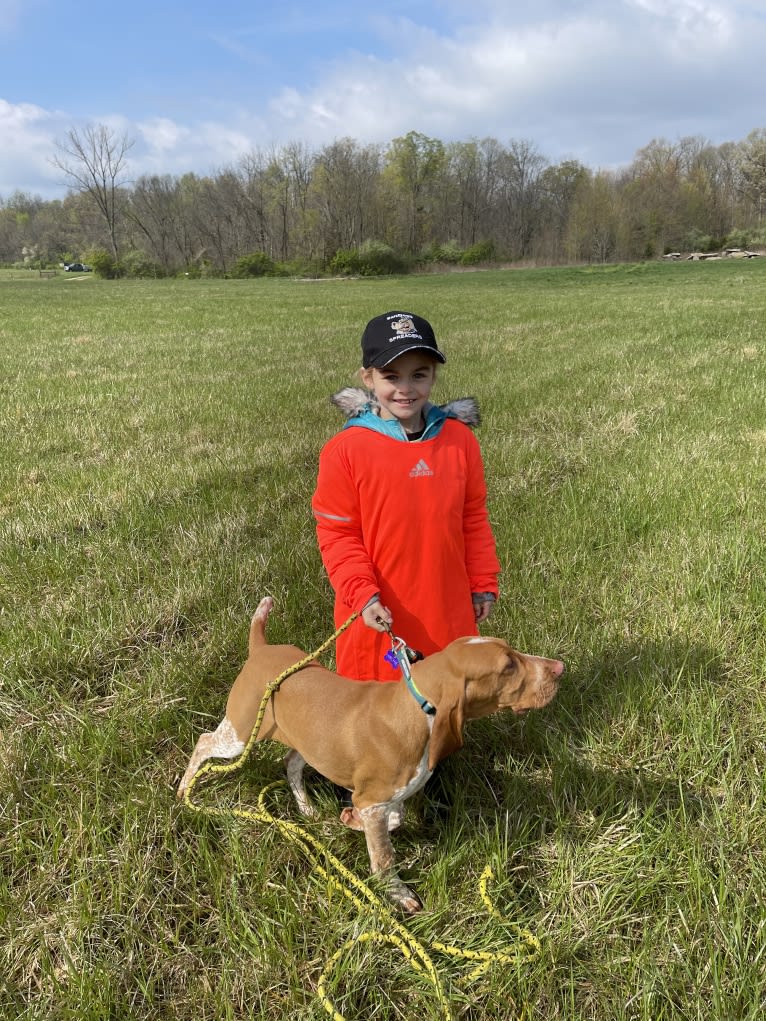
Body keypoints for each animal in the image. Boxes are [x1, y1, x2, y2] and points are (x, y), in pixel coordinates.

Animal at [178, 596, 563, 914]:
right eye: (508, 666)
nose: (559, 668)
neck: (416, 707)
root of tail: (261, 648)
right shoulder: (373, 800)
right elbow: (384, 857)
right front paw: (398, 894)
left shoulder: (381, 799)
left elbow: (392, 820)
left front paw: (350, 820)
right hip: (240, 734)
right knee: (204, 742)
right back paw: (184, 791)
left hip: (310, 744)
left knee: (290, 763)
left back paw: (306, 808)